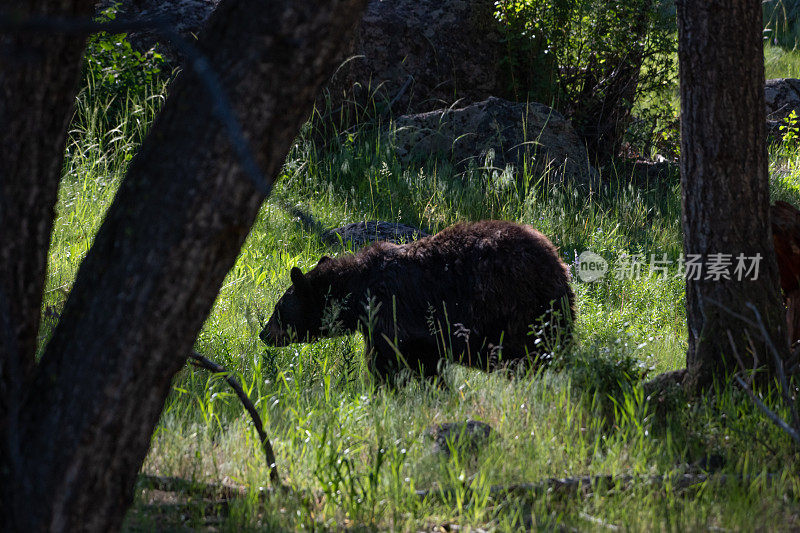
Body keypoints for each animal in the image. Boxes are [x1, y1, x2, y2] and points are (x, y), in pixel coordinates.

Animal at [262, 218, 576, 380]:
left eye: (278, 309)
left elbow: (387, 365)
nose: (263, 334)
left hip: (518, 310)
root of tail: (558, 263)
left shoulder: (392, 316)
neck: (358, 291)